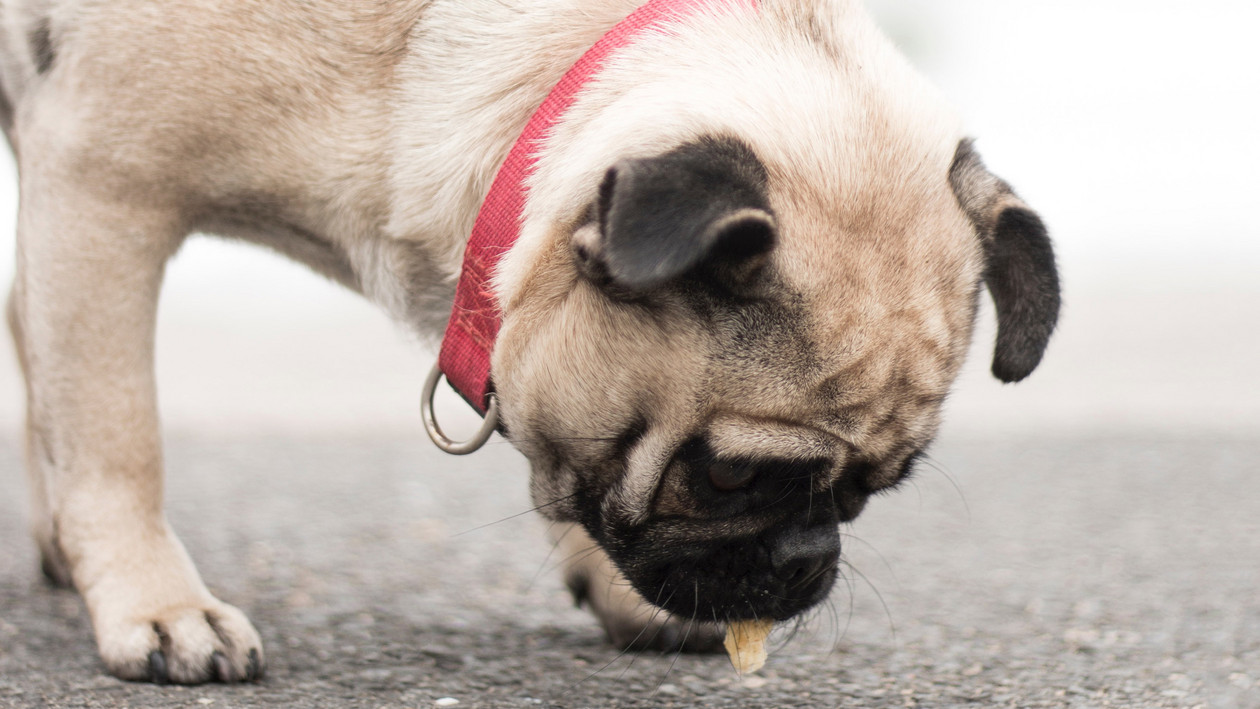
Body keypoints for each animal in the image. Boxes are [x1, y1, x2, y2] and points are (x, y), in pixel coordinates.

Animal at [4, 0, 1058, 690]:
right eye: (727, 476)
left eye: (874, 490)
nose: (808, 556)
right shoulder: (103, 185)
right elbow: (116, 435)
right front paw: (157, 604)